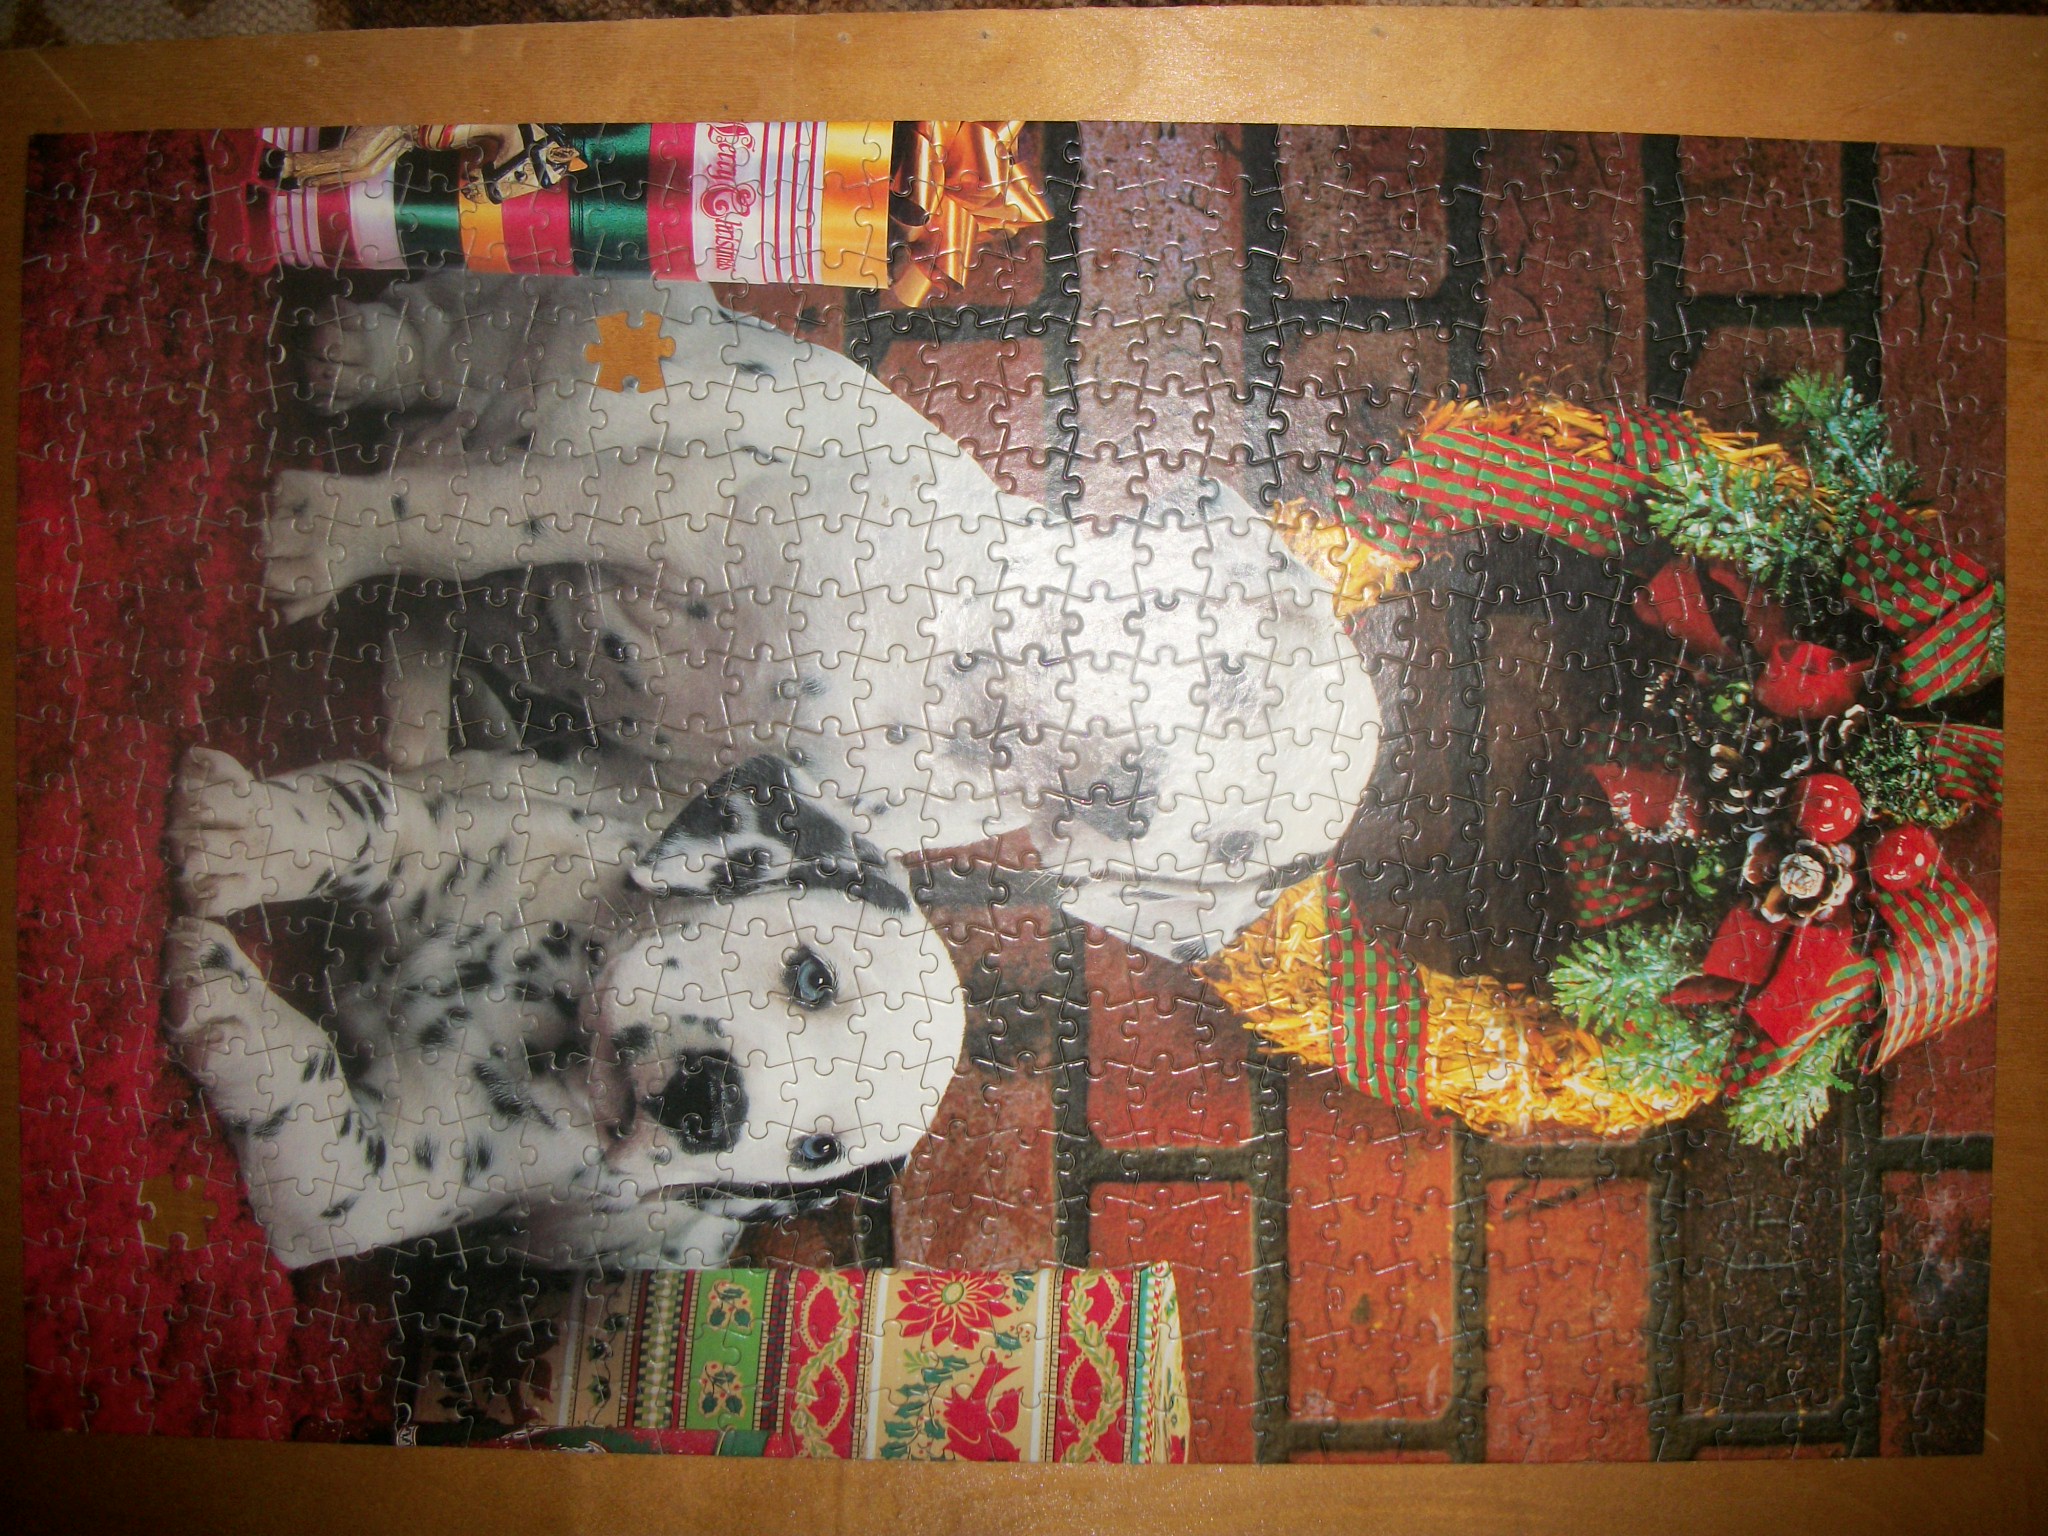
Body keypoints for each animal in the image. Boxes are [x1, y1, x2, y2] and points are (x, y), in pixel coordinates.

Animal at [164, 744, 963, 1269]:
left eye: (817, 1150)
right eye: (813, 980)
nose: (710, 1101)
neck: (557, 1005)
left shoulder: (383, 1188)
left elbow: (318, 1123)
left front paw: (226, 1002)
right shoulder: (464, 844)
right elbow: (372, 820)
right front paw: (249, 832)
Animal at [270, 273, 1385, 963]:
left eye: (1160, 829)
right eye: (1221, 664)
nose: (1119, 784)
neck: (949, 686)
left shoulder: (652, 782)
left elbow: (523, 794)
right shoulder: (667, 499)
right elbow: (472, 520)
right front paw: (323, 539)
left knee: (426, 609)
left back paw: (415, 716)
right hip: (576, 312)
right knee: (448, 339)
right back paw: (358, 361)